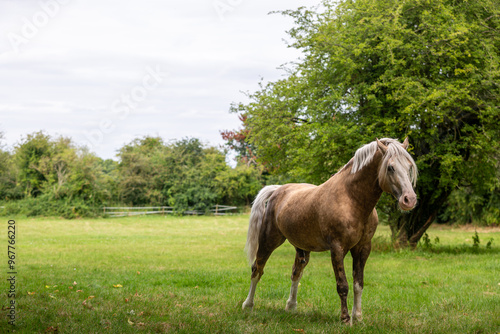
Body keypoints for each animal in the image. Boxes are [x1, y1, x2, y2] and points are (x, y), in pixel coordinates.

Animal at [242, 137, 418, 322]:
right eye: (390, 167)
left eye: (409, 166)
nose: (409, 199)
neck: (351, 199)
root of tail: (278, 190)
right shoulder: (337, 248)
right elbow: (343, 285)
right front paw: (345, 319)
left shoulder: (363, 248)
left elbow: (358, 284)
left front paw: (358, 317)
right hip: (269, 240)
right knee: (257, 269)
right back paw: (248, 305)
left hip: (302, 247)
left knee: (296, 272)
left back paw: (291, 306)